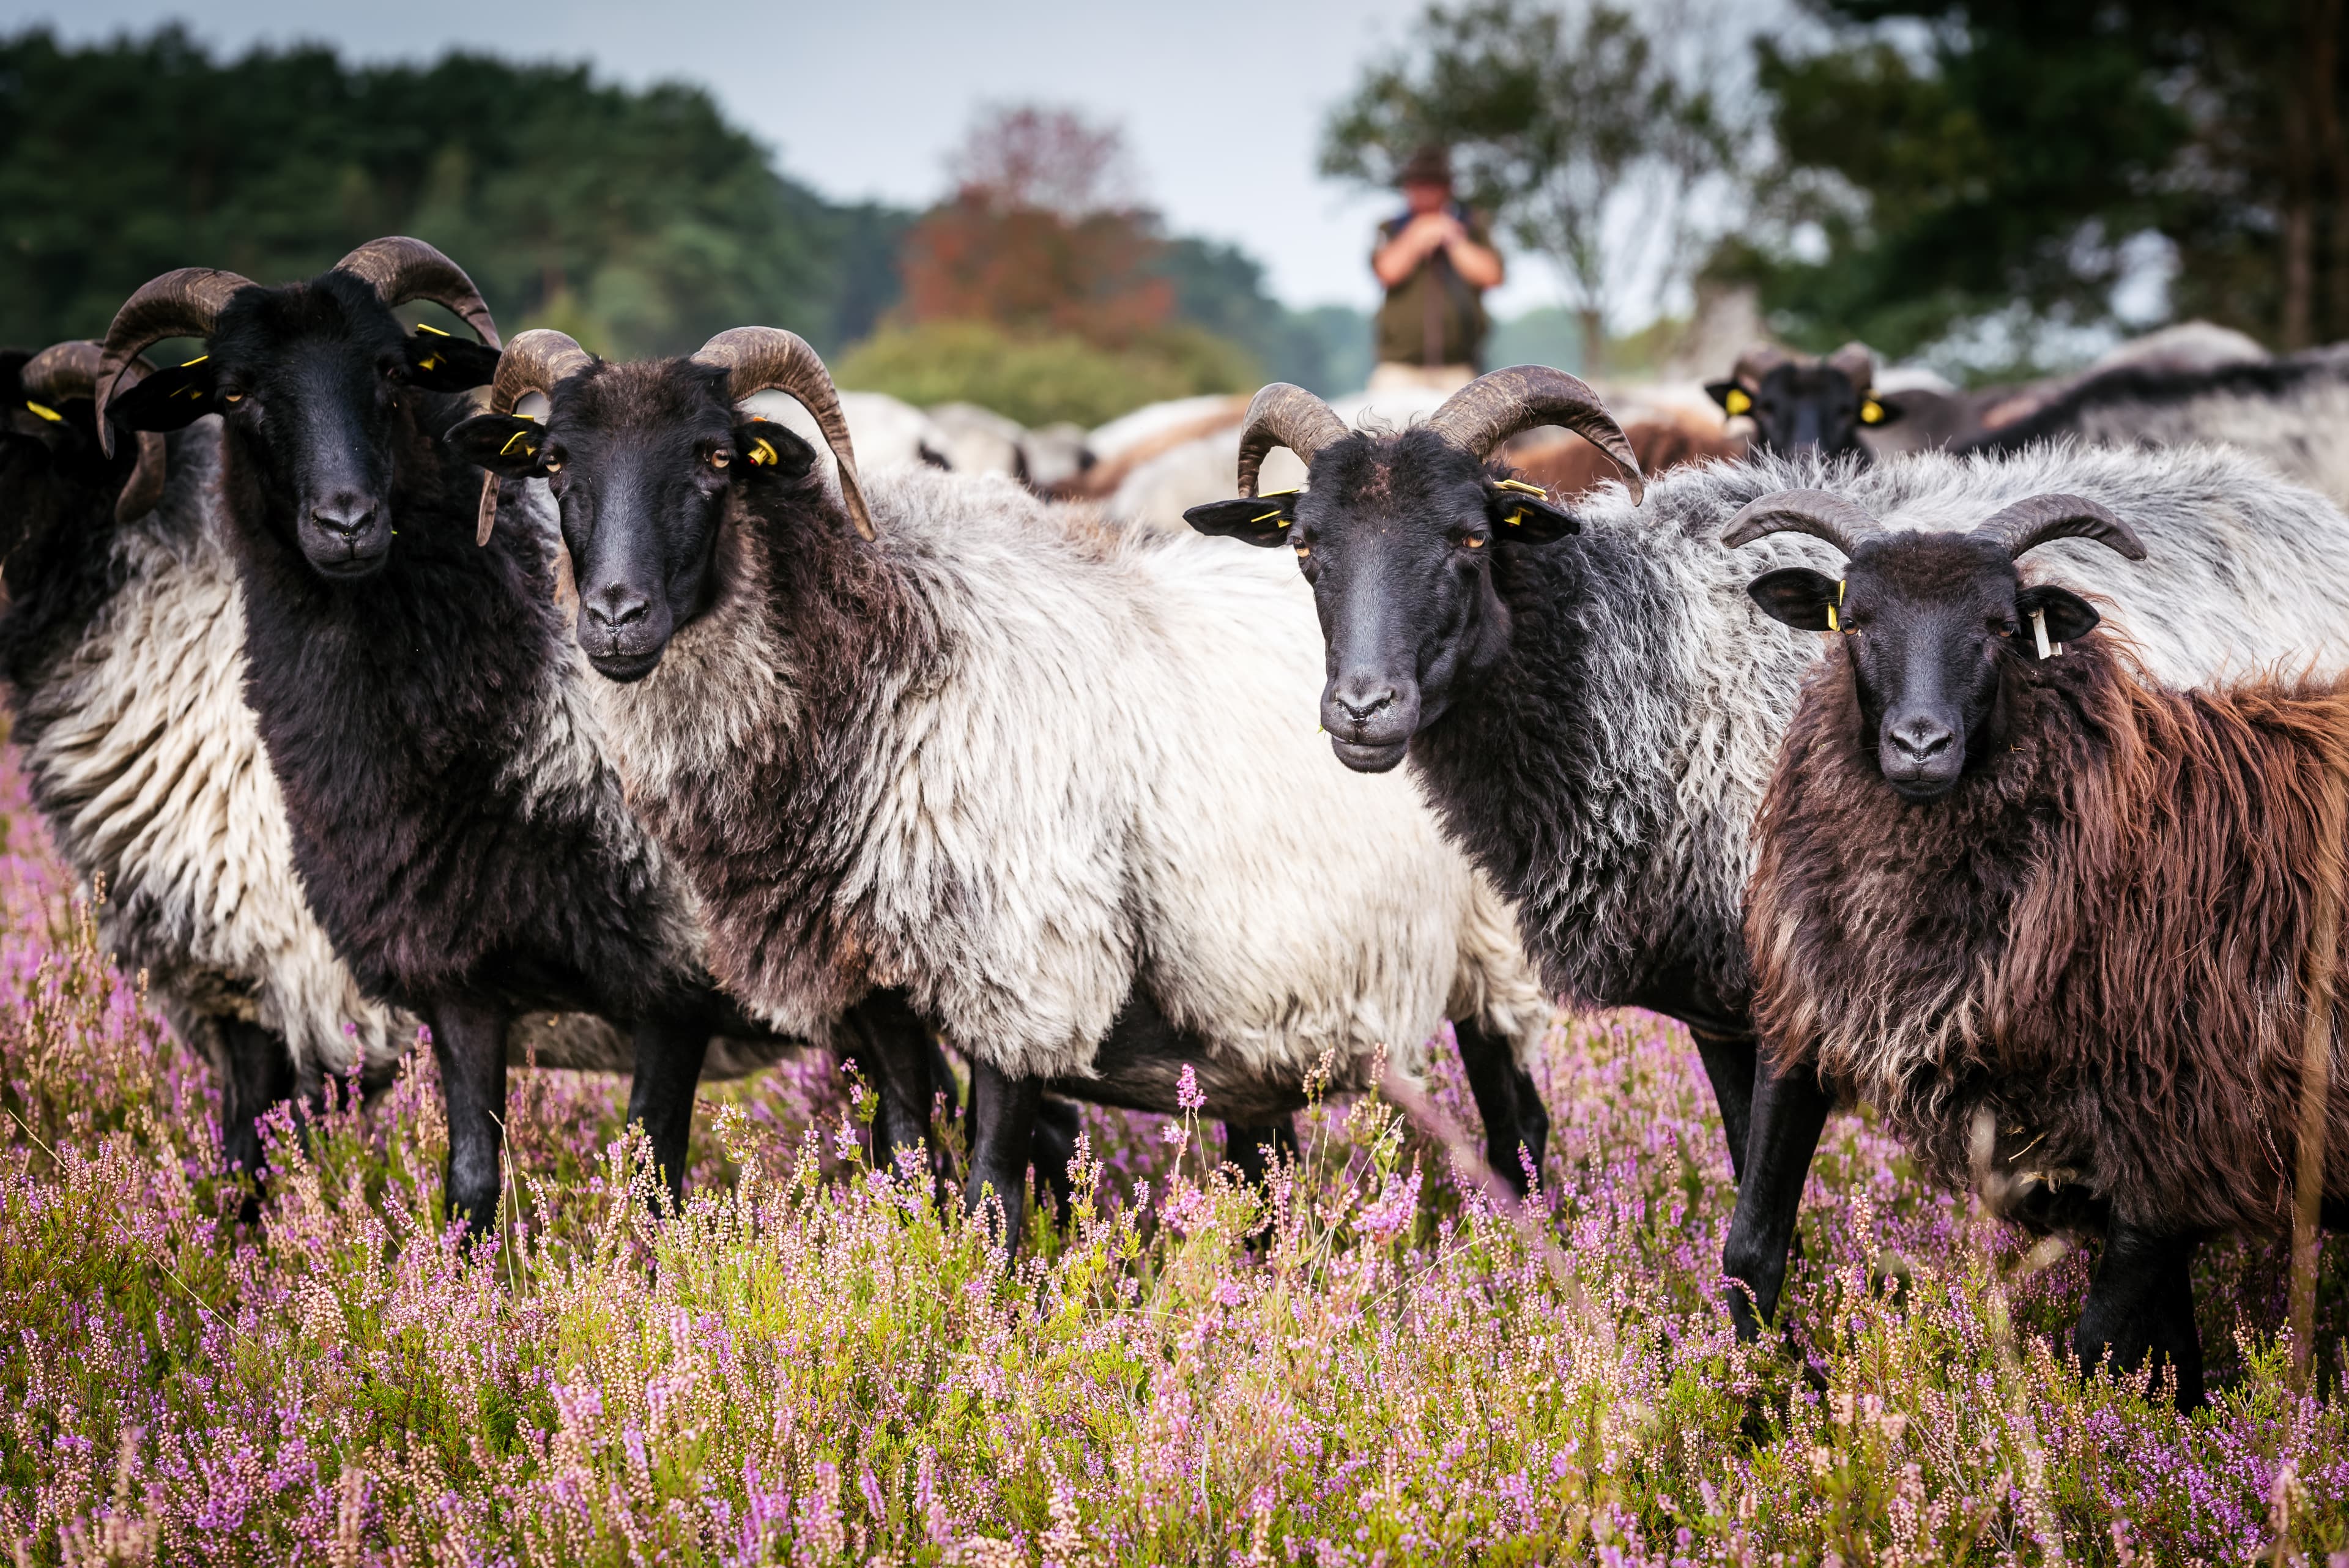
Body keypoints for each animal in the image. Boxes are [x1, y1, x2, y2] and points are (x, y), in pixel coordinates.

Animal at [85, 245, 907, 1232]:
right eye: (236, 391)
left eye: (392, 372)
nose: (347, 524)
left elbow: (652, 1182)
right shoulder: (456, 976)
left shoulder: (675, 983)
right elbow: (471, 1180)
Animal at [443, 331, 1559, 1241]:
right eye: (554, 462)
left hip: (1495, 955)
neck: (887, 662)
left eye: (717, 457)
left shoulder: (1029, 972)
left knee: (1520, 1133)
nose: (614, 618)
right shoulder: (879, 995)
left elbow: (990, 1193)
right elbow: (908, 1168)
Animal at [1729, 486, 2349, 1410]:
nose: (1920, 745)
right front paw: (1768, 1410)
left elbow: (2098, 1353)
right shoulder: (1806, 1015)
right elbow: (1749, 1253)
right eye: (1856, 621)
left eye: (2000, 624)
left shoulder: (2183, 1144)